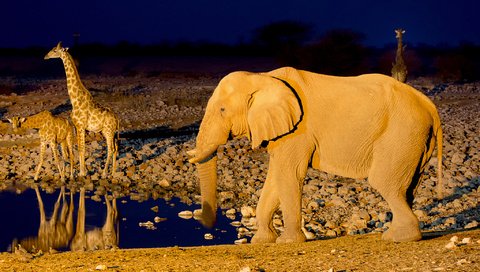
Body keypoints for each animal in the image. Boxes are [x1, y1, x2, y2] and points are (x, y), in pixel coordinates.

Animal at [44, 42, 119, 178]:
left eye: (55, 50)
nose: (45, 56)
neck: (75, 99)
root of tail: (117, 119)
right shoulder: (76, 126)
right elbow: (78, 148)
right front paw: (81, 172)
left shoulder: (80, 126)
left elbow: (81, 148)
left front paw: (82, 173)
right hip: (108, 132)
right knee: (115, 148)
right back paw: (113, 173)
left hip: (109, 131)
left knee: (110, 149)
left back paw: (104, 173)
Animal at [188, 67, 442, 243]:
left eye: (222, 110)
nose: (204, 222)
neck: (263, 77)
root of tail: (429, 105)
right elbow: (275, 178)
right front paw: (261, 241)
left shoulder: (298, 131)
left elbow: (289, 175)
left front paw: (287, 242)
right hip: (414, 140)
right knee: (408, 188)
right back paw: (395, 234)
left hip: (401, 133)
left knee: (384, 182)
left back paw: (399, 238)